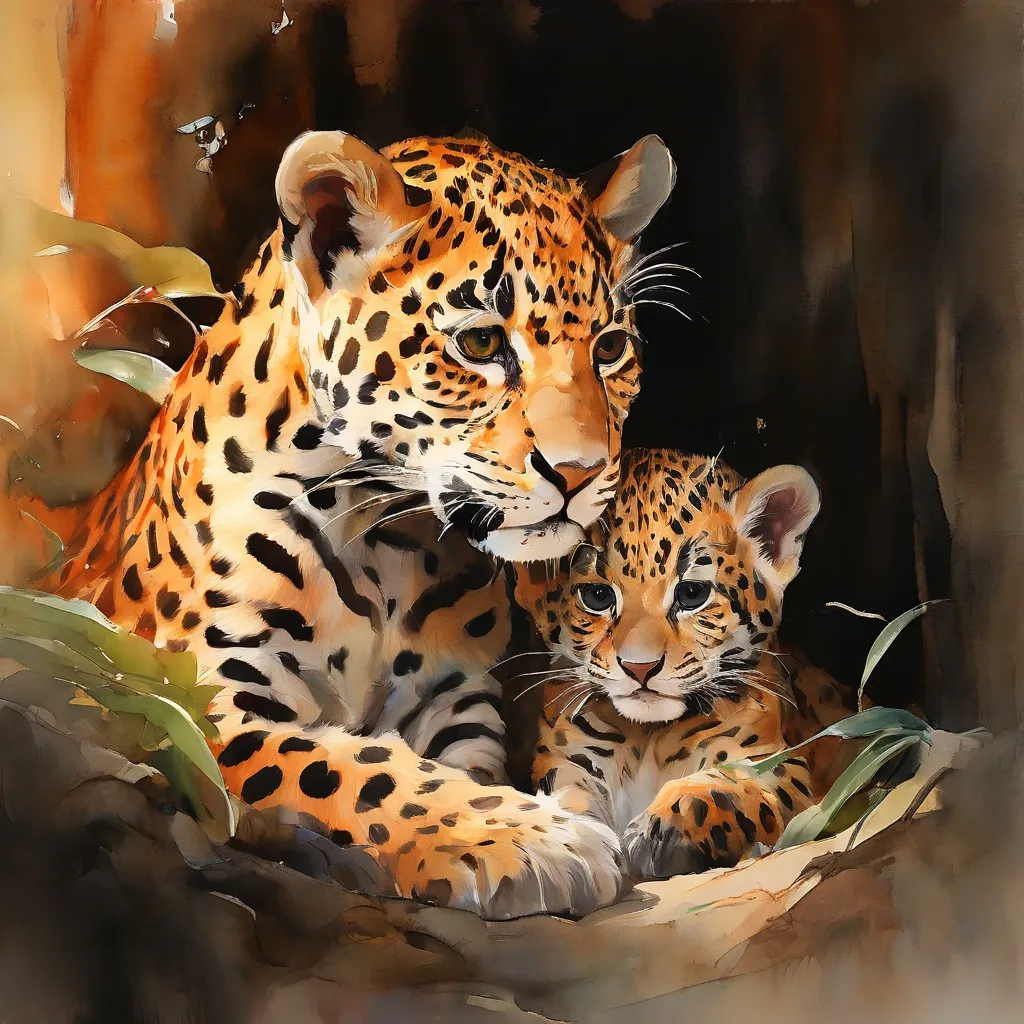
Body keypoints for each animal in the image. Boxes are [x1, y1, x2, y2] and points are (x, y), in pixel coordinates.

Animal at [44, 129, 678, 919]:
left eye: (611, 349)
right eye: (479, 344)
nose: (583, 473)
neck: (389, 539)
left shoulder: (458, 700)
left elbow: (448, 767)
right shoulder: (199, 698)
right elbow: (354, 768)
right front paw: (533, 839)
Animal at [512, 448, 850, 880]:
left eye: (691, 594)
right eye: (597, 596)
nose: (639, 668)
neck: (646, 737)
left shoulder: (776, 765)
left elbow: (724, 788)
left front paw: (659, 832)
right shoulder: (569, 761)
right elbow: (567, 803)